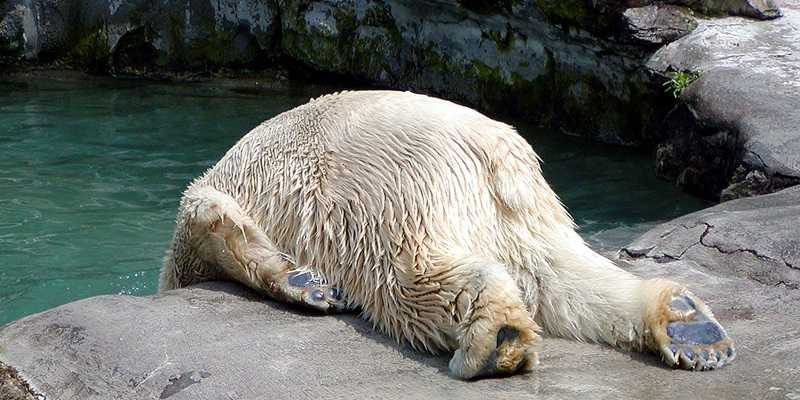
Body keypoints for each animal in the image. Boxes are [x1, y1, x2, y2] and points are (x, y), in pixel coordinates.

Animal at [159, 90, 735, 379]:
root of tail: (493, 149)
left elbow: (204, 220)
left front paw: (304, 282)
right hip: (526, 211)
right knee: (560, 277)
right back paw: (690, 327)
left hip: (376, 187)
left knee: (403, 271)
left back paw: (496, 337)